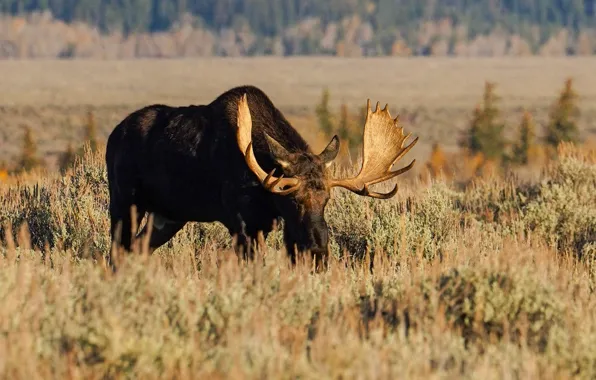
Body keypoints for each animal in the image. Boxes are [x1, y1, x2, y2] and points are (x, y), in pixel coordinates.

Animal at [105, 85, 416, 270]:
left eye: (327, 199)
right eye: (294, 199)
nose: (319, 251)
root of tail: (113, 135)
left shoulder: (274, 224)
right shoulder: (241, 221)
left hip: (168, 216)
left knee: (137, 248)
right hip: (124, 203)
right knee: (117, 251)